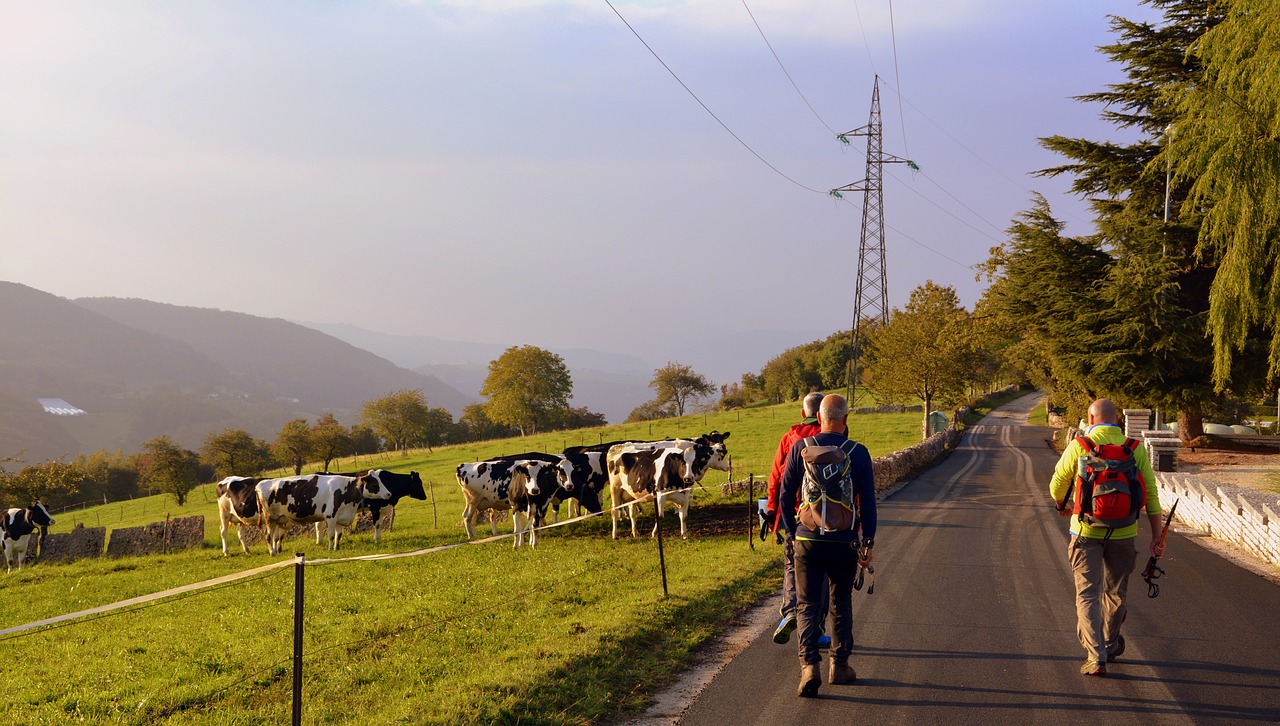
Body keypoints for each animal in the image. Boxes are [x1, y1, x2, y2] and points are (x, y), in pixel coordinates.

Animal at [253, 473, 384, 553]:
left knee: (274, 537)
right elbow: (331, 535)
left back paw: (275, 551)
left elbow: (338, 535)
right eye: (375, 483)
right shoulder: (330, 517)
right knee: (268, 536)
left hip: (278, 519)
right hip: (270, 518)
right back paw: (272, 553)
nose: (388, 494)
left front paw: (337, 548)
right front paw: (330, 549)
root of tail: (260, 485)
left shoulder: (340, 517)